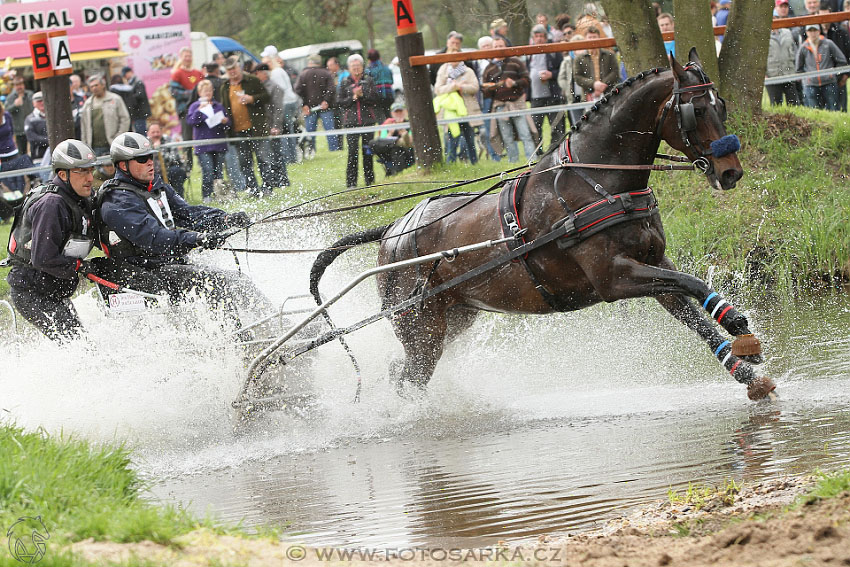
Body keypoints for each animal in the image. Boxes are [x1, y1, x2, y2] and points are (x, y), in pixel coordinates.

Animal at [312, 51, 776, 402]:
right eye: (696, 110)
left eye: (721, 105)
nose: (730, 171)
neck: (597, 182)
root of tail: (393, 229)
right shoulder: (614, 278)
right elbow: (691, 284)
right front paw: (740, 330)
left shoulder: (653, 263)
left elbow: (696, 311)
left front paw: (746, 366)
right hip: (421, 326)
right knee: (409, 377)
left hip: (453, 318)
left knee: (402, 372)